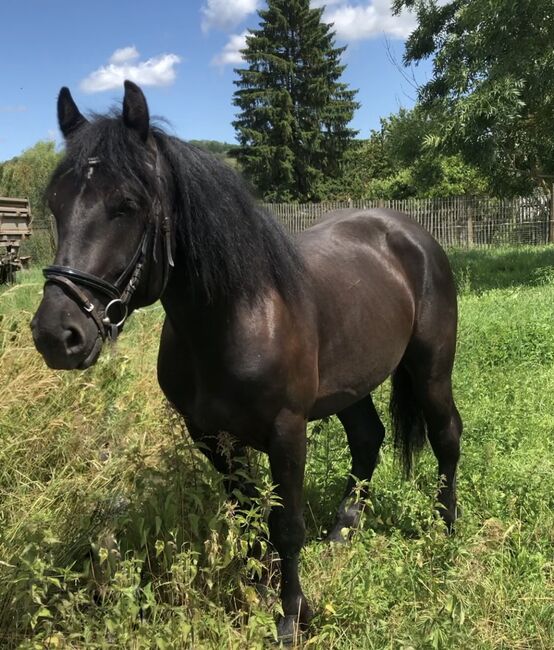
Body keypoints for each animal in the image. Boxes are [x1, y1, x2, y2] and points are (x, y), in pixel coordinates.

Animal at [30, 81, 462, 636]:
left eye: (127, 204)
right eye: (55, 204)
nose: (55, 335)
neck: (233, 318)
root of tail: (409, 232)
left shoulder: (287, 431)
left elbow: (287, 524)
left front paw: (290, 618)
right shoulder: (211, 437)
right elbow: (248, 515)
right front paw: (268, 590)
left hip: (431, 370)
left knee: (446, 434)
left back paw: (444, 532)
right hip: (350, 386)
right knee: (368, 439)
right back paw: (342, 534)